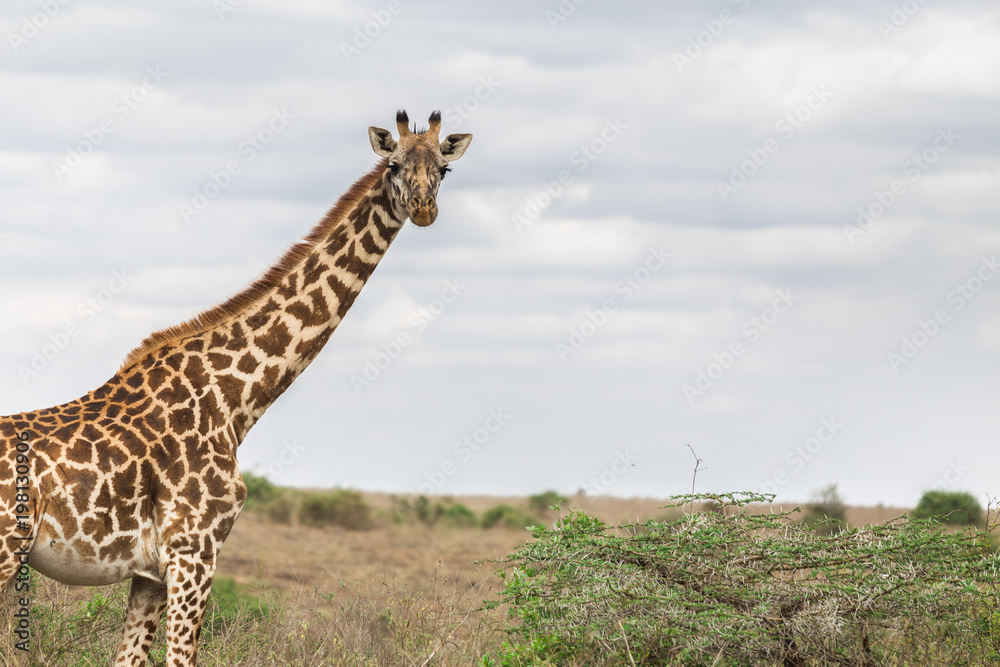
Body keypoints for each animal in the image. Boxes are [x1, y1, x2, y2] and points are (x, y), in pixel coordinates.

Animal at [0, 110, 471, 665]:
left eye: (444, 169)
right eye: (393, 164)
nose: (423, 209)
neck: (234, 401)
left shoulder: (151, 572)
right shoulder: (194, 551)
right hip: (6, 553)